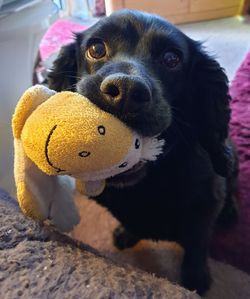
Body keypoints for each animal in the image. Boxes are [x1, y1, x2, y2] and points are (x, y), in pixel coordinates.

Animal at [48, 10, 238, 296]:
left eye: (172, 59)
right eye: (96, 48)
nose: (125, 91)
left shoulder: (207, 204)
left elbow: (197, 244)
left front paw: (195, 280)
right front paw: (127, 233)